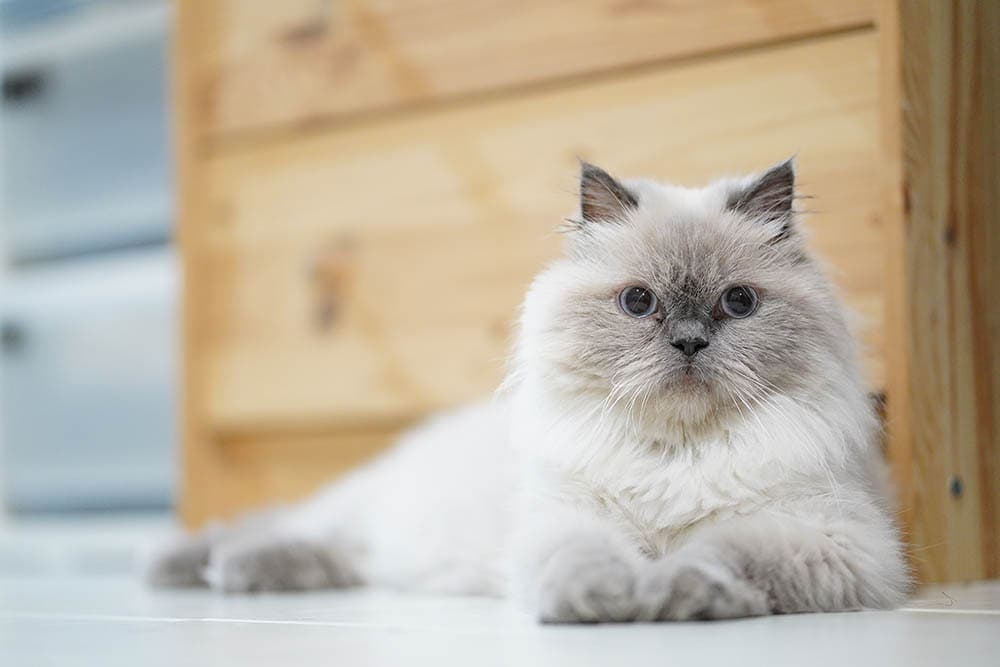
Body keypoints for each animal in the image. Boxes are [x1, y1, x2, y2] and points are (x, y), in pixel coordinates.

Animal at [145, 159, 912, 624]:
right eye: (638, 302)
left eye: (739, 303)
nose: (691, 342)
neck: (676, 455)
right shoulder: (568, 520)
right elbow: (587, 562)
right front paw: (605, 599)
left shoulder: (829, 541)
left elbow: (716, 552)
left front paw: (677, 593)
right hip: (357, 510)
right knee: (282, 526)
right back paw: (192, 567)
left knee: (336, 556)